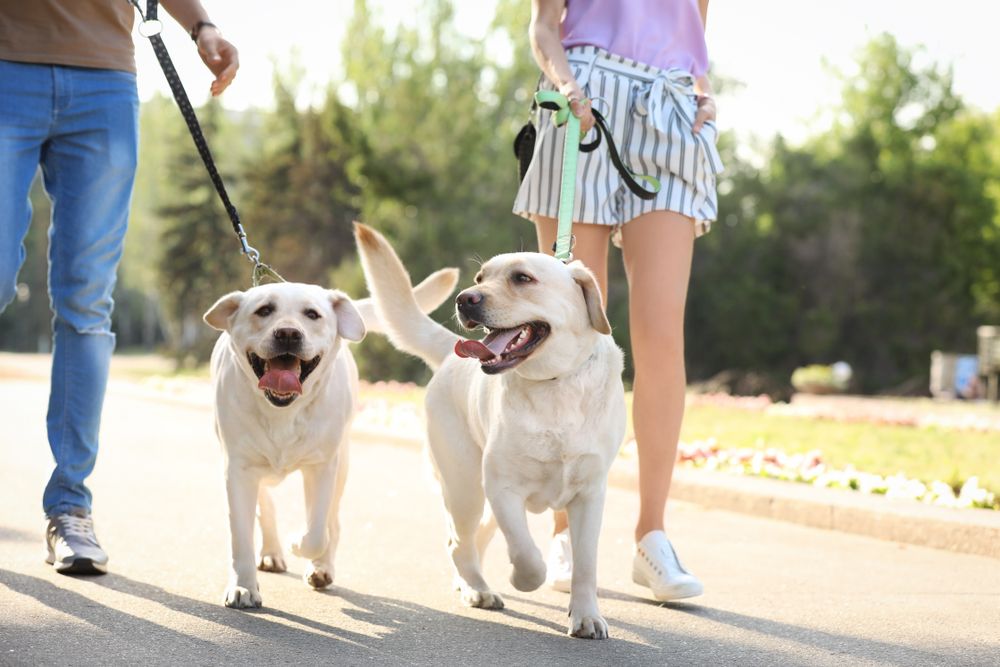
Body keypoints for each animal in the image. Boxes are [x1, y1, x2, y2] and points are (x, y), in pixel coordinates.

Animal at [206, 272, 458, 612]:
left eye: (312, 314)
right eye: (264, 310)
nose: (288, 334)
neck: (283, 411)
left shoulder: (322, 466)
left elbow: (317, 532)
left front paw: (299, 543)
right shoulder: (238, 468)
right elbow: (241, 535)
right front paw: (244, 587)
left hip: (342, 466)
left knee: (332, 523)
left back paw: (321, 567)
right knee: (266, 505)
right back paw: (271, 552)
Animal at [356, 224, 624, 640]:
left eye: (522, 278)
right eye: (481, 278)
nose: (465, 299)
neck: (555, 383)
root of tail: (450, 354)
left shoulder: (590, 495)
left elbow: (586, 565)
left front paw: (586, 616)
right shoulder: (503, 486)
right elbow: (528, 555)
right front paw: (522, 579)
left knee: (472, 540)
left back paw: (471, 584)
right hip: (466, 487)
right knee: (458, 541)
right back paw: (477, 588)